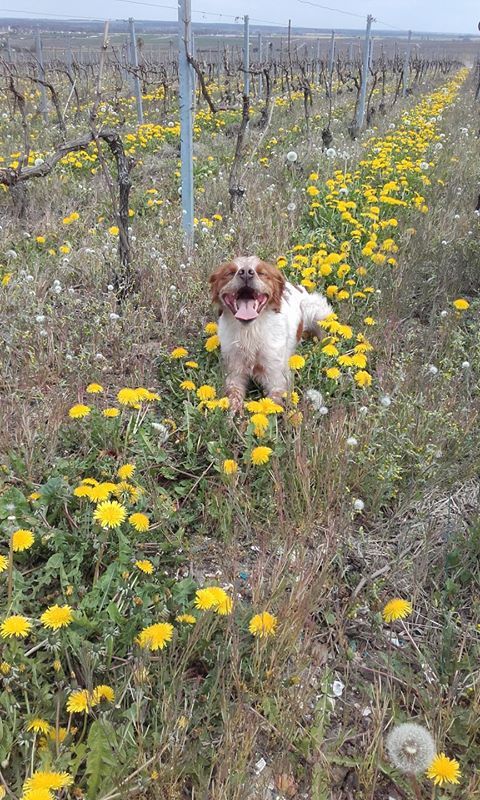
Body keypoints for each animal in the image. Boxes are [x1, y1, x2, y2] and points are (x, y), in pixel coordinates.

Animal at [210, 256, 334, 416]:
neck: (250, 332)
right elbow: (233, 397)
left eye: (261, 273)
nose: (246, 272)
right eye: (230, 273)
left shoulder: (276, 377)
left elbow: (271, 405)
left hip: (316, 311)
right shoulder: (234, 372)